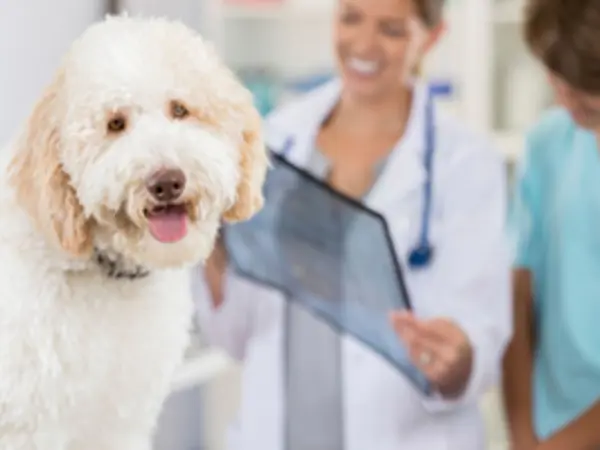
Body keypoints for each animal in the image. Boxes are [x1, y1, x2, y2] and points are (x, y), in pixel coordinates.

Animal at [0, 14, 268, 449]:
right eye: (115, 124)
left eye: (180, 109)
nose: (167, 182)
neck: (102, 272)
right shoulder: (30, 425)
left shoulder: (121, 420)